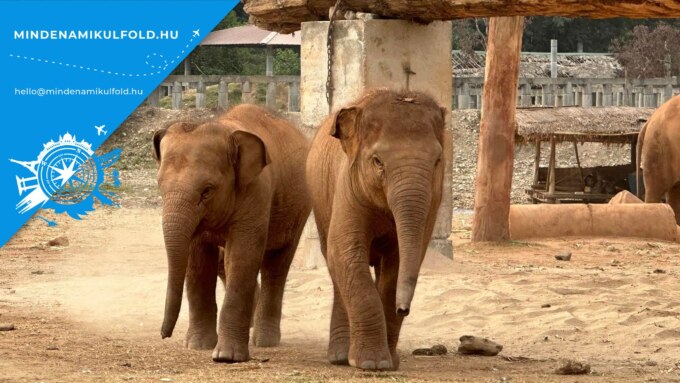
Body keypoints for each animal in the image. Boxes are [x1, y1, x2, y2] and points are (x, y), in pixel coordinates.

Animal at [152, 104, 310, 364]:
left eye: (206, 191)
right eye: (160, 187)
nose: (164, 334)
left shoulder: (256, 190)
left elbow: (242, 256)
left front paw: (226, 357)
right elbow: (198, 260)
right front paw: (197, 346)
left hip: (299, 206)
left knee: (277, 263)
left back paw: (265, 340)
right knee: (223, 263)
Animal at [306, 88, 448, 370]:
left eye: (437, 161)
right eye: (377, 161)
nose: (403, 309)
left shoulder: (432, 202)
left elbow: (398, 263)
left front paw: (389, 362)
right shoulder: (347, 187)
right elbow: (345, 254)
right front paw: (372, 364)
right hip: (321, 201)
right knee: (334, 264)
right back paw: (340, 357)